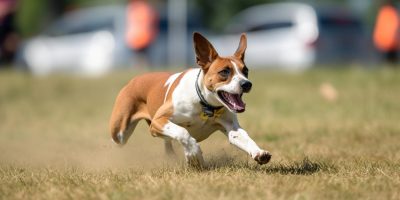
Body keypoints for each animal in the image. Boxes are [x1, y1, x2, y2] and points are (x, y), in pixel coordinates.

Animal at [109, 32, 272, 167]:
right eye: (224, 72)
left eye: (246, 71)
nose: (247, 84)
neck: (205, 106)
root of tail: (134, 80)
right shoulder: (159, 120)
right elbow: (183, 133)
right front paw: (194, 155)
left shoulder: (232, 127)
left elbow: (244, 138)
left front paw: (259, 152)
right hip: (120, 132)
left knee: (168, 143)